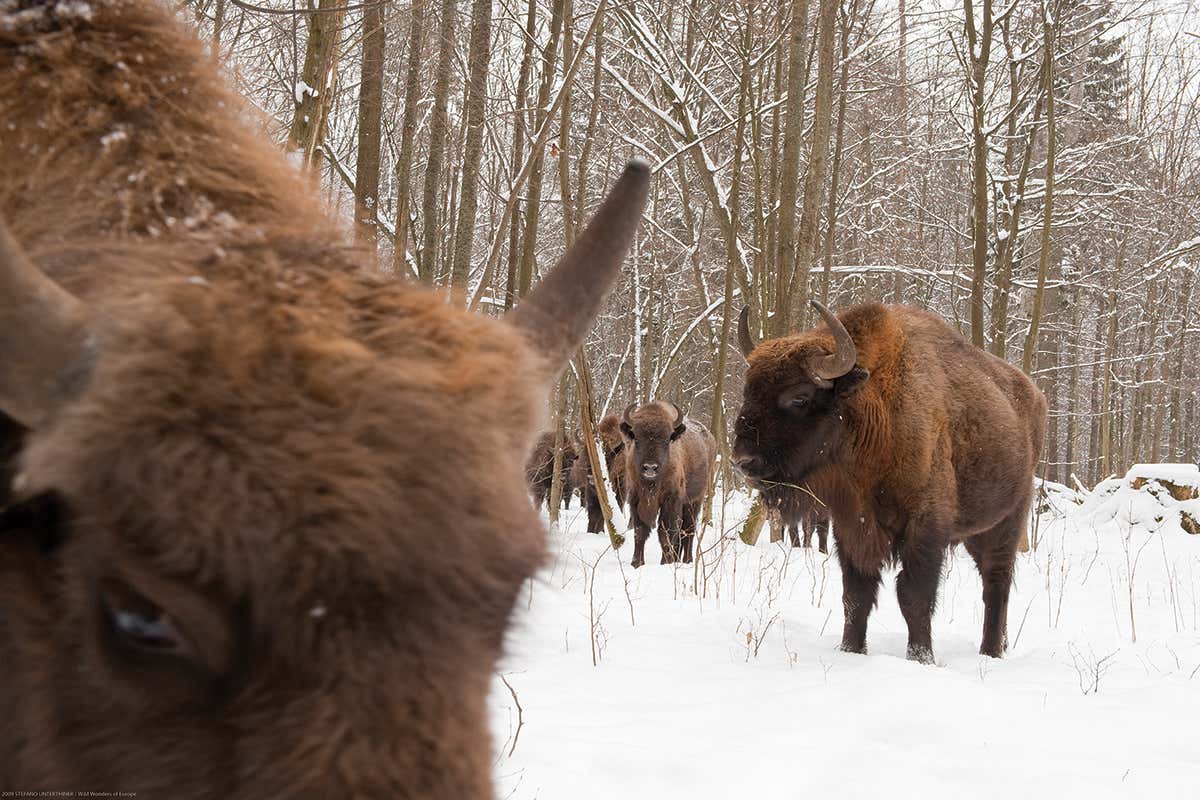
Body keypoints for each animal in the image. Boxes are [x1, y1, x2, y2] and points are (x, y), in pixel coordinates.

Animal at [621, 402, 717, 567]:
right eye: (637, 440)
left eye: (666, 441)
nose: (650, 467)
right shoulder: (636, 500)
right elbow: (639, 532)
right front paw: (637, 563)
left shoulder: (671, 501)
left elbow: (665, 532)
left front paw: (665, 563)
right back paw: (677, 559)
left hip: (694, 501)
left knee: (688, 531)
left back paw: (687, 560)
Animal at [732, 301, 1045, 663]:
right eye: (748, 390)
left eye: (799, 397)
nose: (742, 460)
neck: (874, 409)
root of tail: (1034, 397)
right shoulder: (853, 526)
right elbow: (856, 596)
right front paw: (851, 649)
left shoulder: (924, 528)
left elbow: (913, 597)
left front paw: (921, 658)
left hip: (1007, 521)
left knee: (996, 582)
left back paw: (991, 652)